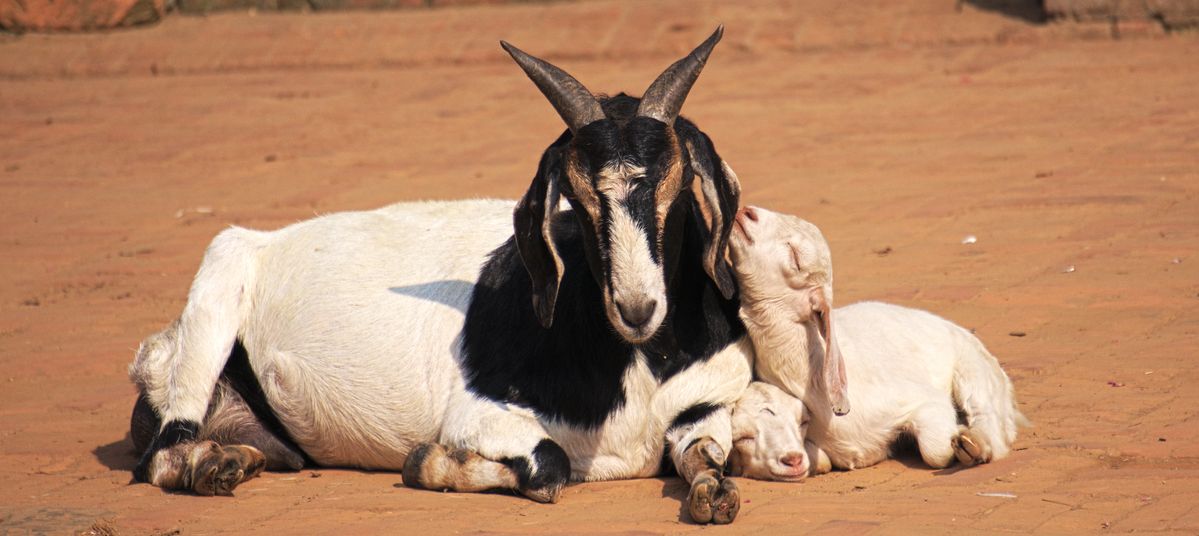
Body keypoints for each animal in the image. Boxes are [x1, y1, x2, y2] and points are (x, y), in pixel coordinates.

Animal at [126, 26, 752, 525]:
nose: (637, 309)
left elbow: (709, 458)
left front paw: (713, 493)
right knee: (161, 457)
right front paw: (430, 463)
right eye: (575, 197)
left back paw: (234, 458)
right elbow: (547, 464)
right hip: (215, 292)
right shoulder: (476, 413)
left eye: (677, 185)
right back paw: (212, 466)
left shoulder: (707, 402)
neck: (640, 360)